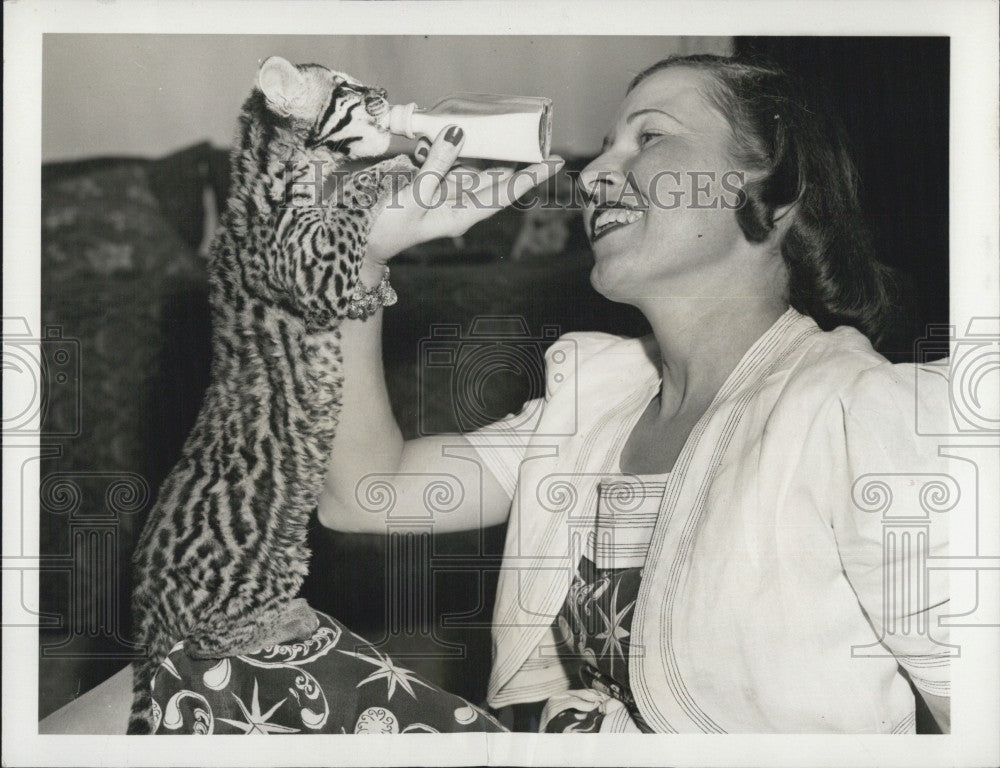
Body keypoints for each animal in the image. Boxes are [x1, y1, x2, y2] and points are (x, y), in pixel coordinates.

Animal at [128, 57, 410, 736]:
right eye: (344, 87)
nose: (384, 91)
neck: (269, 169)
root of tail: (147, 619)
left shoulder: (329, 287)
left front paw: (379, 288)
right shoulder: (310, 264)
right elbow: (348, 203)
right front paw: (393, 166)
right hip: (251, 575)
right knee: (208, 643)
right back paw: (290, 620)